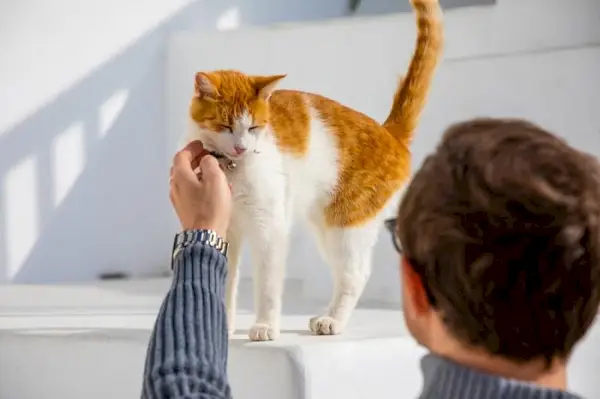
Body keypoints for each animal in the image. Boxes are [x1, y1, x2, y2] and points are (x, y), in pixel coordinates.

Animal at [185, 0, 442, 344]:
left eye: (253, 127)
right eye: (225, 126)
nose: (241, 147)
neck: (233, 167)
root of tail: (389, 132)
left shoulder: (270, 227)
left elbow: (268, 285)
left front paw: (265, 326)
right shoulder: (224, 228)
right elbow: (222, 279)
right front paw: (220, 326)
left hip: (345, 225)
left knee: (355, 274)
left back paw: (333, 320)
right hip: (325, 224)